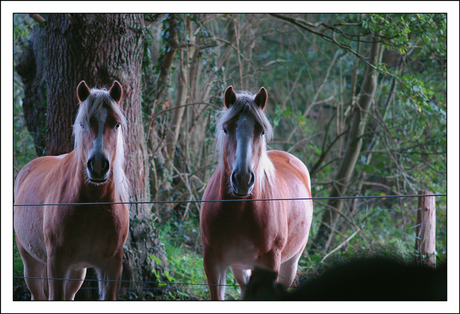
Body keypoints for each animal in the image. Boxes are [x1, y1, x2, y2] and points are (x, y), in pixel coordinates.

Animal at [14, 80, 129, 300]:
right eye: (82, 123)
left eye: (116, 124)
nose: (98, 166)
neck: (93, 205)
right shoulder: (56, 264)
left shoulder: (110, 266)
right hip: (31, 263)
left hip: (76, 272)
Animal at [199, 86, 314, 300]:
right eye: (226, 129)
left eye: (261, 131)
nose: (243, 179)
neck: (238, 213)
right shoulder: (213, 263)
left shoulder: (269, 264)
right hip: (239, 267)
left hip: (290, 264)